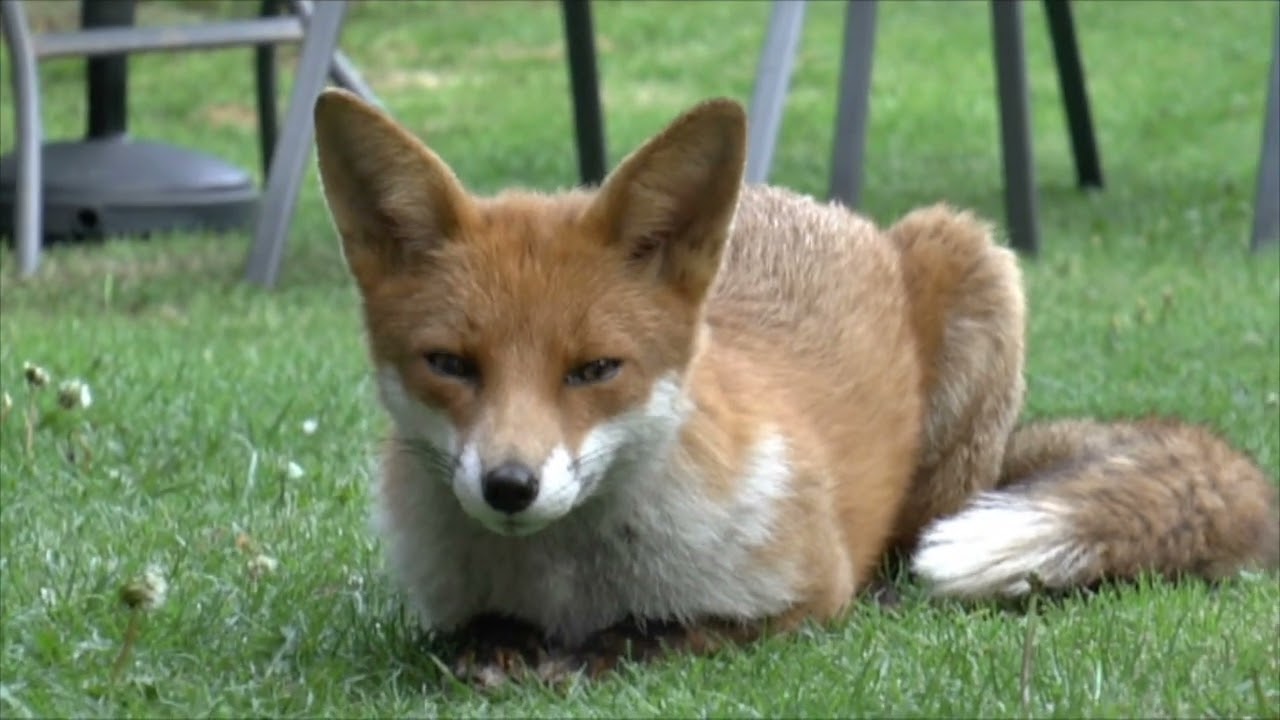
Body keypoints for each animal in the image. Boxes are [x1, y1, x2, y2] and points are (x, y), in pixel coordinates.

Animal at [312, 89, 1280, 683]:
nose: (509, 486)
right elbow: (472, 635)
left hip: (976, 279)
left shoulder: (806, 591)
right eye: (450, 364)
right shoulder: (444, 608)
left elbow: (674, 632)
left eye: (594, 370)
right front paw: (508, 652)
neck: (569, 583)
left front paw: (593, 656)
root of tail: (815, 204)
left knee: (916, 536)